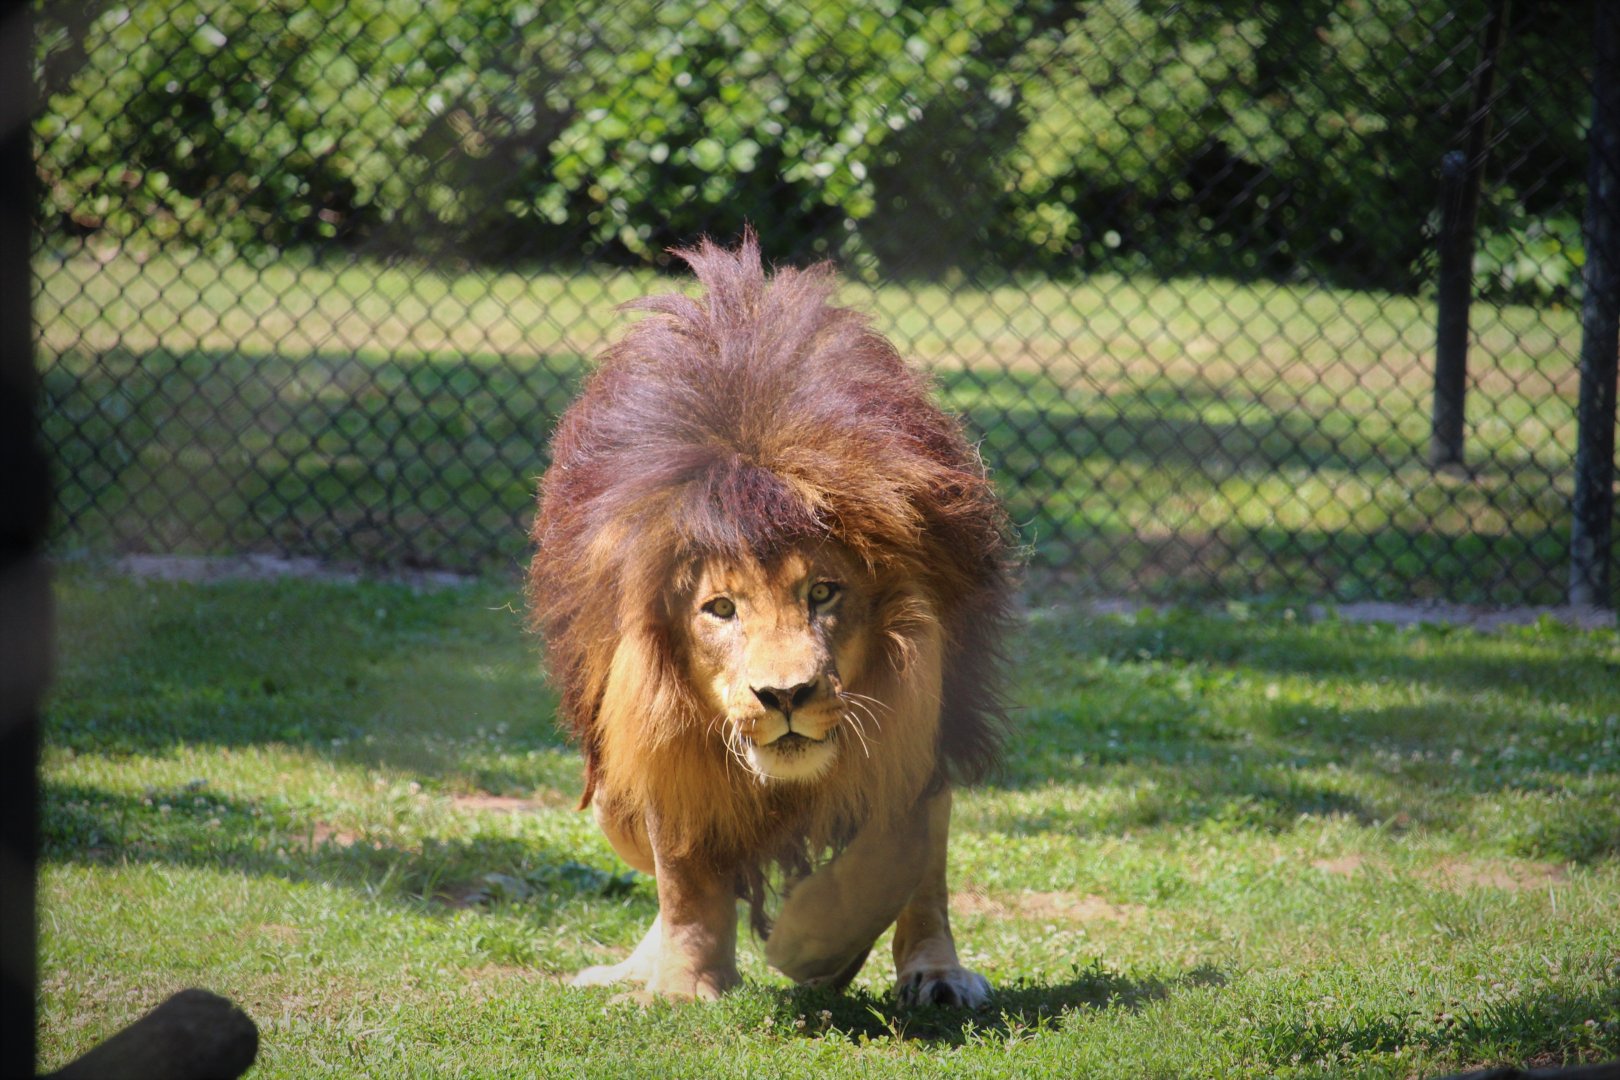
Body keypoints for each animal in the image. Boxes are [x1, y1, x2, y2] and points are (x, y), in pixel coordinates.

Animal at [527, 232, 1012, 1006]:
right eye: (721, 609)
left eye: (823, 593)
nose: (785, 696)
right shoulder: (665, 740)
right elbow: (686, 884)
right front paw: (682, 987)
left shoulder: (915, 722)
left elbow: (893, 856)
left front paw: (815, 948)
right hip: (608, 792)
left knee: (927, 880)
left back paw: (936, 974)